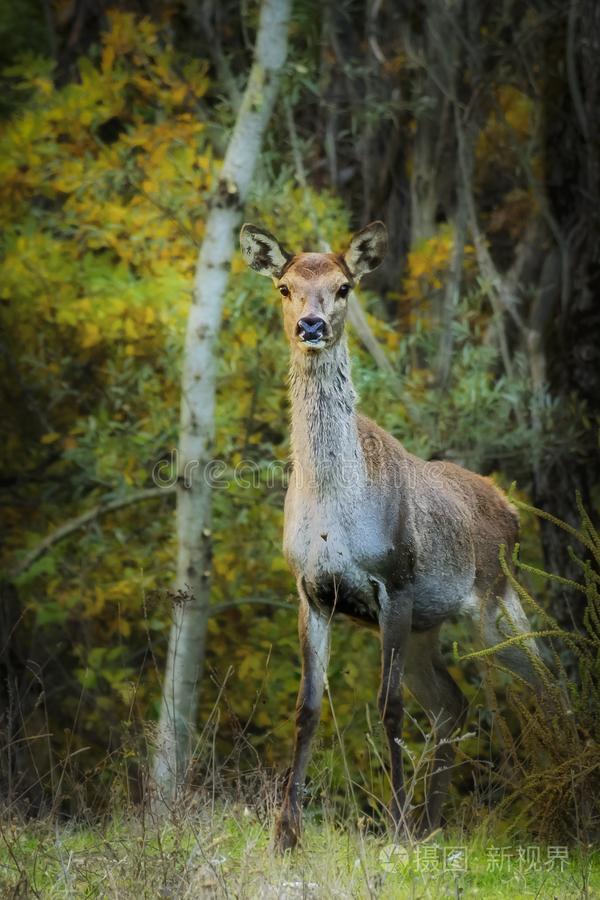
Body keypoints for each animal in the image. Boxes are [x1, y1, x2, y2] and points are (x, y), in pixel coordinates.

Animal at [240, 218, 544, 852]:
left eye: (344, 286)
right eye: (284, 287)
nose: (312, 325)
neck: (334, 513)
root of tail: (511, 508)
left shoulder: (395, 582)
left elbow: (390, 706)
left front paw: (397, 828)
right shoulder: (310, 590)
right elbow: (307, 708)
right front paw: (286, 835)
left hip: (495, 600)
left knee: (538, 685)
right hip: (434, 626)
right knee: (454, 703)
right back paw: (434, 823)